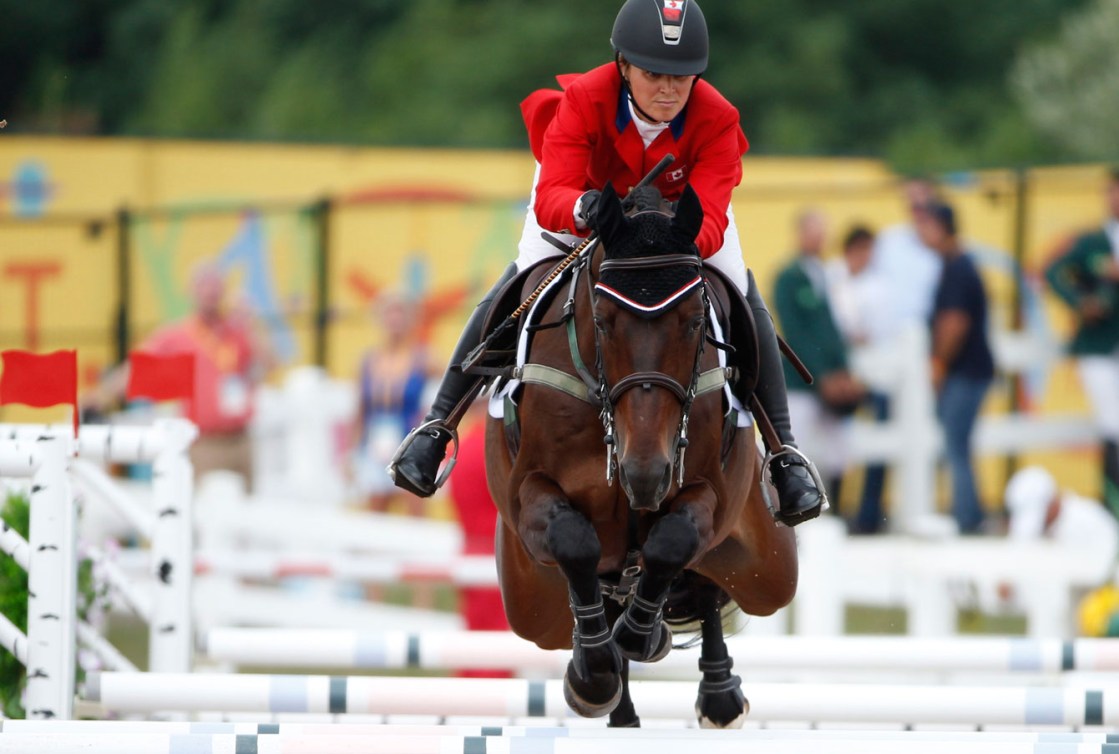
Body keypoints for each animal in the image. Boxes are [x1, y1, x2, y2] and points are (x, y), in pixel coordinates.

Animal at [485, 180, 801, 720]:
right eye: (603, 320)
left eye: (695, 321)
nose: (645, 473)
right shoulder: (528, 490)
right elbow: (574, 540)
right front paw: (593, 673)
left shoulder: (712, 493)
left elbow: (673, 540)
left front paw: (638, 635)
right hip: (531, 601)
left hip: (769, 569)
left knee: (707, 585)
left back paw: (713, 686)